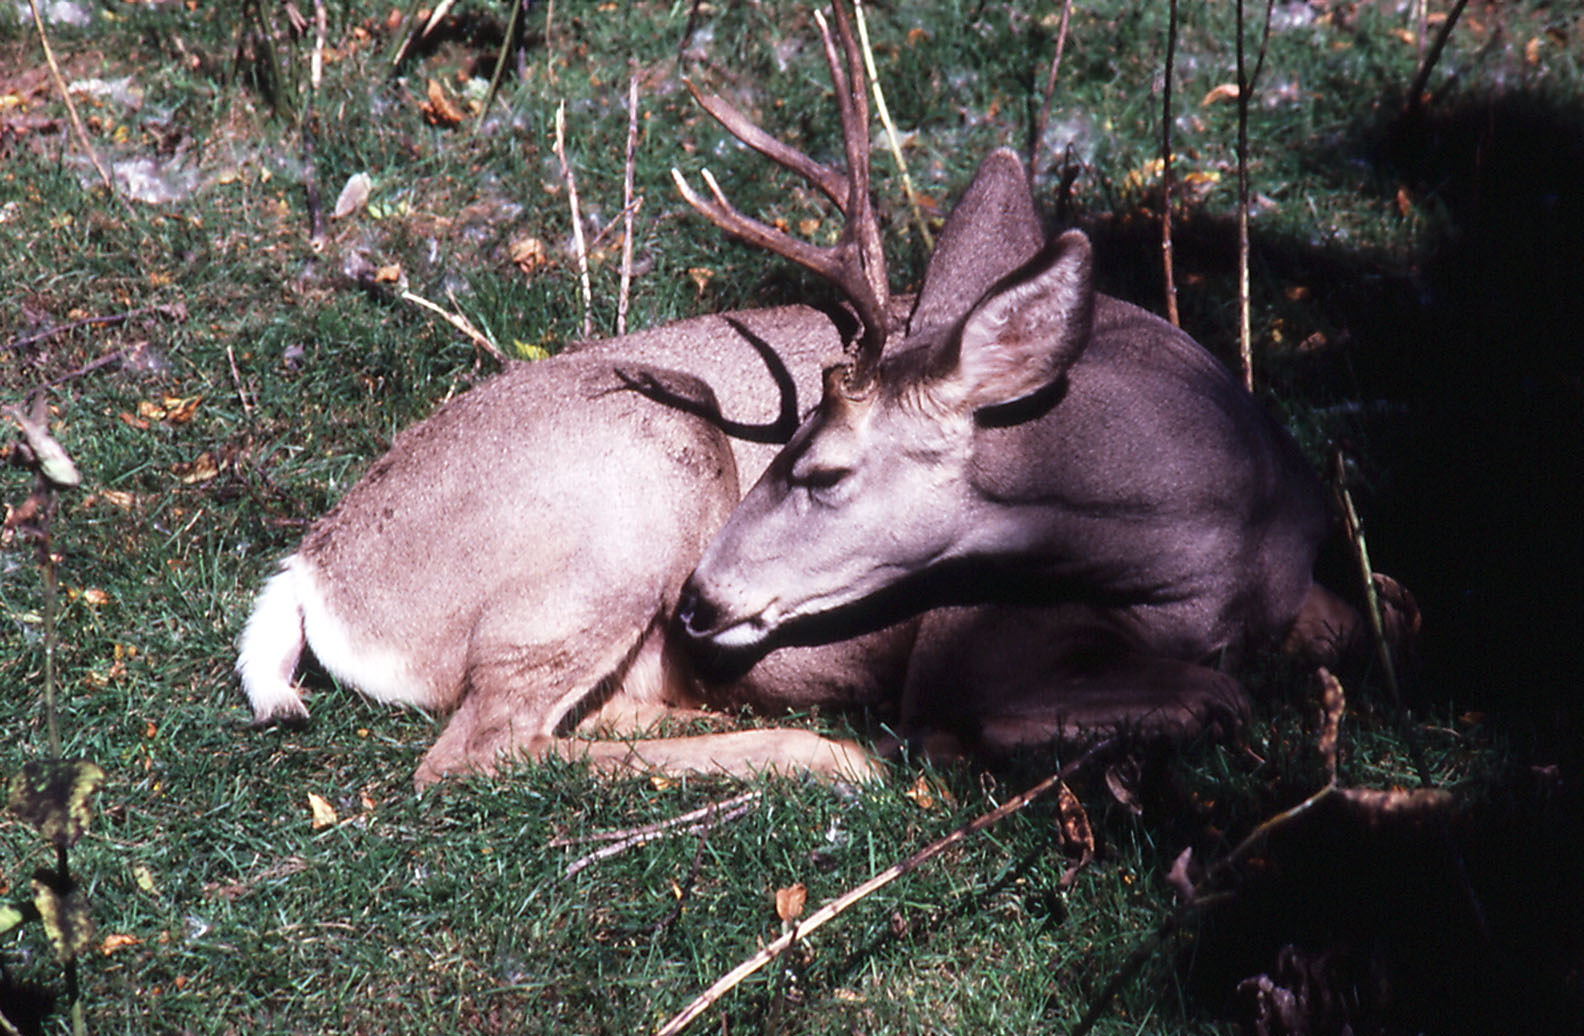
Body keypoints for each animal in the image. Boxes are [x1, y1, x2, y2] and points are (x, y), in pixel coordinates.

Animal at [237, 3, 1353, 790]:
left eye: (820, 470)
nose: (698, 602)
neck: (1221, 525)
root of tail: (316, 569)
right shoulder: (962, 646)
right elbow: (1213, 697)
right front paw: (952, 742)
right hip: (644, 468)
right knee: (477, 749)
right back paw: (831, 756)